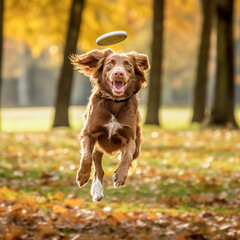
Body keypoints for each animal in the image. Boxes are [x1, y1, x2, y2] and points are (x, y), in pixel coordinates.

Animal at [69, 48, 149, 201]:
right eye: (110, 64)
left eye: (128, 65)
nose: (119, 73)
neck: (114, 102)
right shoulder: (89, 134)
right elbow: (86, 157)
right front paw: (82, 175)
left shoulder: (130, 139)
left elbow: (126, 157)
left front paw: (120, 176)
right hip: (98, 147)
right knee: (97, 167)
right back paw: (97, 190)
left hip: (137, 147)